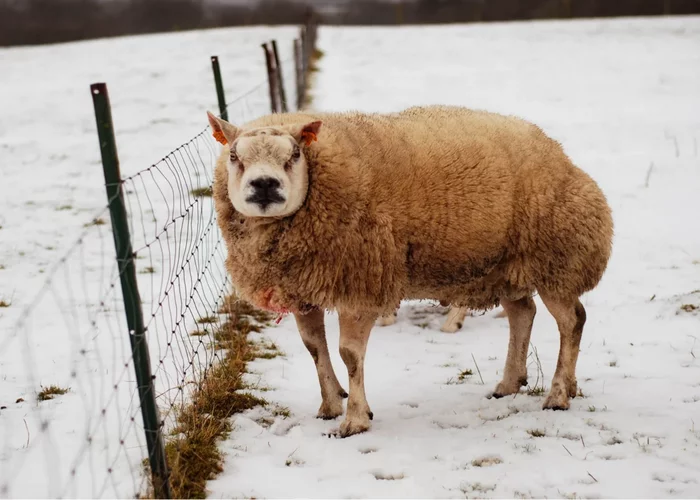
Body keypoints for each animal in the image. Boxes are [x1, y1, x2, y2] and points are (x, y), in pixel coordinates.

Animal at [206, 105, 612, 438]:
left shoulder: (362, 282)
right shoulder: (303, 289)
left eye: (294, 154)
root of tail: (558, 152)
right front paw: (330, 405)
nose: (264, 184)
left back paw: (558, 394)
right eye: (234, 156)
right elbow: (314, 348)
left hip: (556, 260)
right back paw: (511, 384)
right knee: (523, 314)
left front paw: (355, 420)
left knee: (572, 321)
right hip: (506, 266)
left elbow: (349, 354)